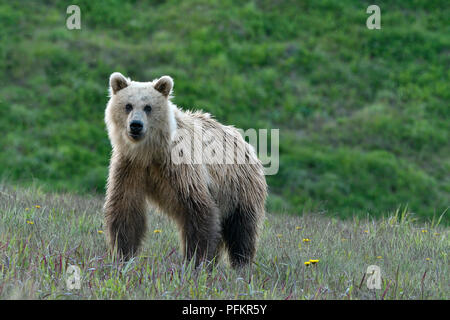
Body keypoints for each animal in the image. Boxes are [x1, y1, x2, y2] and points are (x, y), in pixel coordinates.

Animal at [104, 72, 268, 268]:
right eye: (128, 105)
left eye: (148, 107)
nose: (136, 125)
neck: (149, 153)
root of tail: (246, 144)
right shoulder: (130, 167)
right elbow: (125, 208)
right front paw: (123, 255)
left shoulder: (180, 166)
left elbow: (198, 210)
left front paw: (195, 261)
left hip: (238, 189)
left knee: (242, 230)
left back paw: (241, 264)